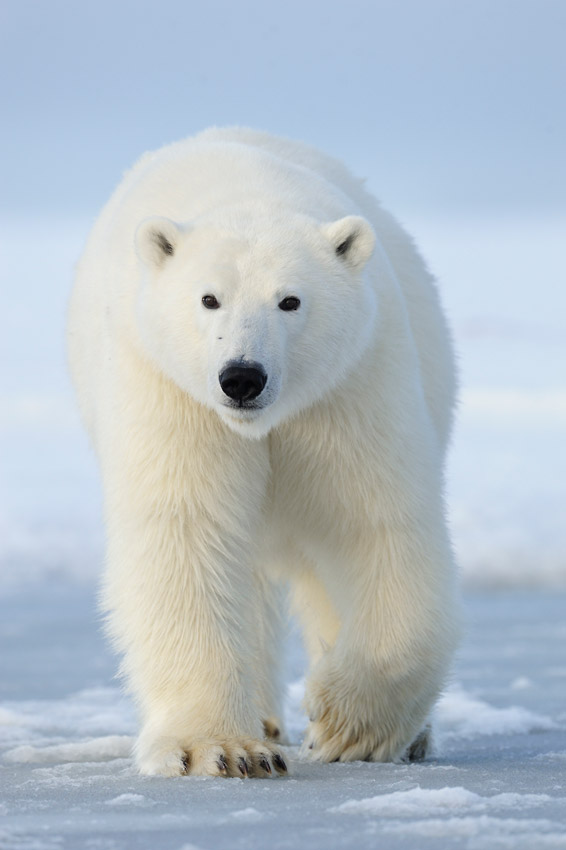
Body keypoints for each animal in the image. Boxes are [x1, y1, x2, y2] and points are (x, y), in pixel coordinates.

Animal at [69, 124, 462, 776]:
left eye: (290, 300)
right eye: (209, 299)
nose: (242, 378)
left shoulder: (347, 386)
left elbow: (373, 521)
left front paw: (346, 726)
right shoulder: (172, 391)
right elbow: (188, 533)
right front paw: (220, 749)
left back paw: (411, 737)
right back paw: (262, 719)